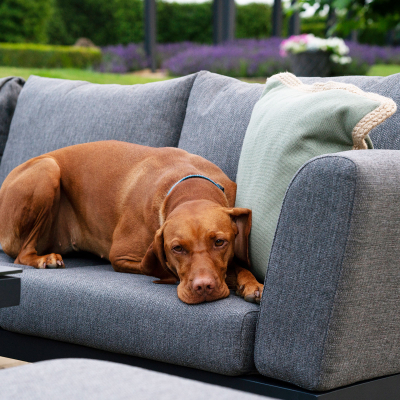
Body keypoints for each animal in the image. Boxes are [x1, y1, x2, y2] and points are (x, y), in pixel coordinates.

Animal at [0, 141, 262, 304]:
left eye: (220, 242)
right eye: (177, 248)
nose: (204, 287)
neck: (190, 187)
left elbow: (237, 265)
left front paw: (251, 283)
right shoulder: (121, 257)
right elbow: (161, 269)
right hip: (48, 168)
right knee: (21, 255)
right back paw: (45, 259)